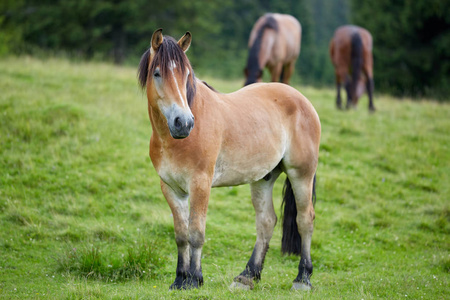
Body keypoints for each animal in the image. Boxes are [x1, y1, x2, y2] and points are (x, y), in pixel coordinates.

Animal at [137, 28, 320, 290]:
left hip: (301, 174)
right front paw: (179, 280)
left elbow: (196, 232)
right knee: (266, 221)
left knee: (305, 220)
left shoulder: (200, 184)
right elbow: (181, 235)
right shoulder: (171, 188)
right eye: (157, 73)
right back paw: (247, 276)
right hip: (264, 178)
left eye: (186, 75)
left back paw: (302, 278)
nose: (183, 123)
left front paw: (194, 279)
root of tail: (302, 100)